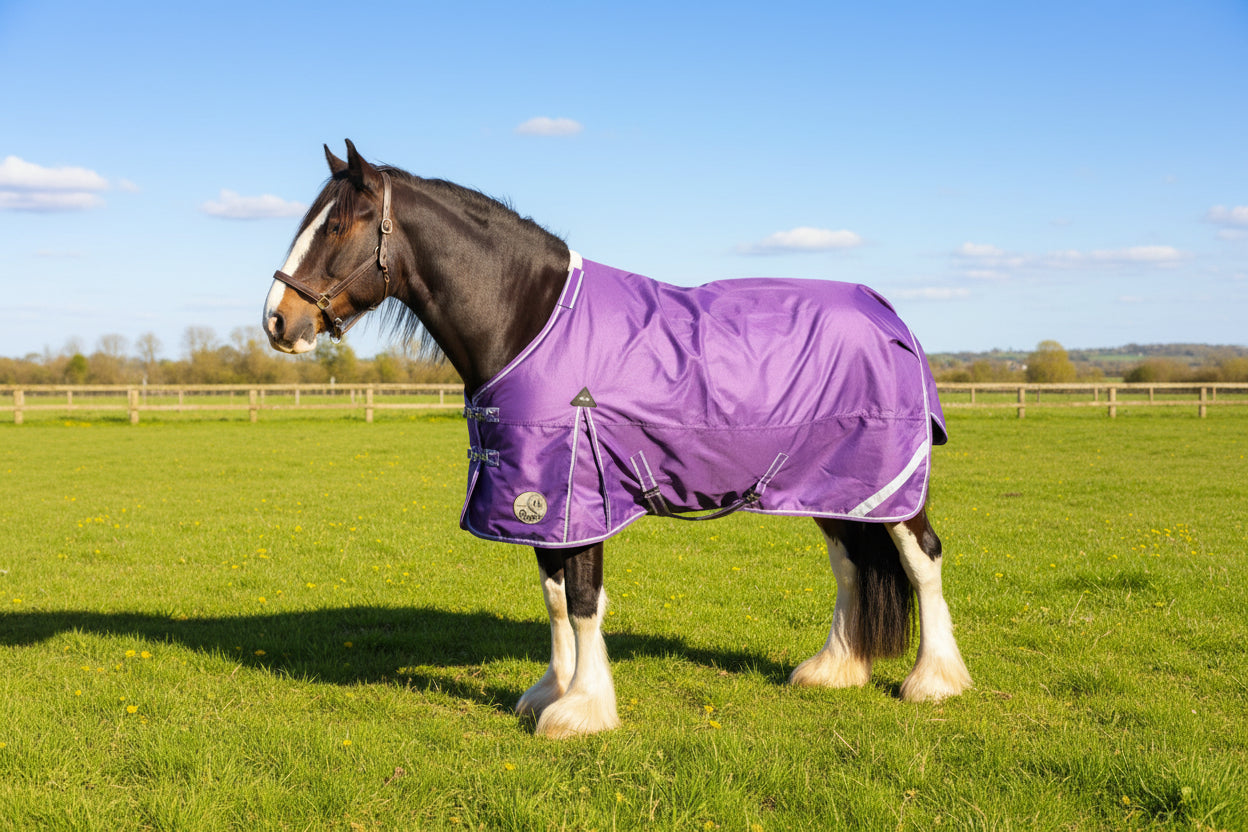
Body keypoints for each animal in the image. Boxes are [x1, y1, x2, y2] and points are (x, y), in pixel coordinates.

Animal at [262, 140, 971, 738]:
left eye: (336, 227)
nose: (276, 320)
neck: (531, 320)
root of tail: (886, 313)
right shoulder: (539, 498)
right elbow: (553, 599)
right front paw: (551, 691)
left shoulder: (577, 491)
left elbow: (581, 601)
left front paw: (582, 710)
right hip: (833, 487)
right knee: (850, 564)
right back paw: (834, 669)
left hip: (890, 484)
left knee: (922, 558)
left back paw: (933, 681)